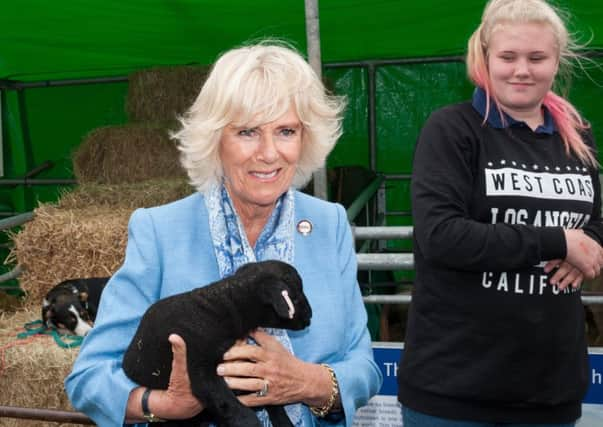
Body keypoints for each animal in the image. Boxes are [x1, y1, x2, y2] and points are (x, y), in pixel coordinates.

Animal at [121, 260, 314, 427]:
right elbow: (232, 406)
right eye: (295, 299)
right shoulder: (199, 369)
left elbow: (272, 403)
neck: (223, 306)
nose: (310, 316)